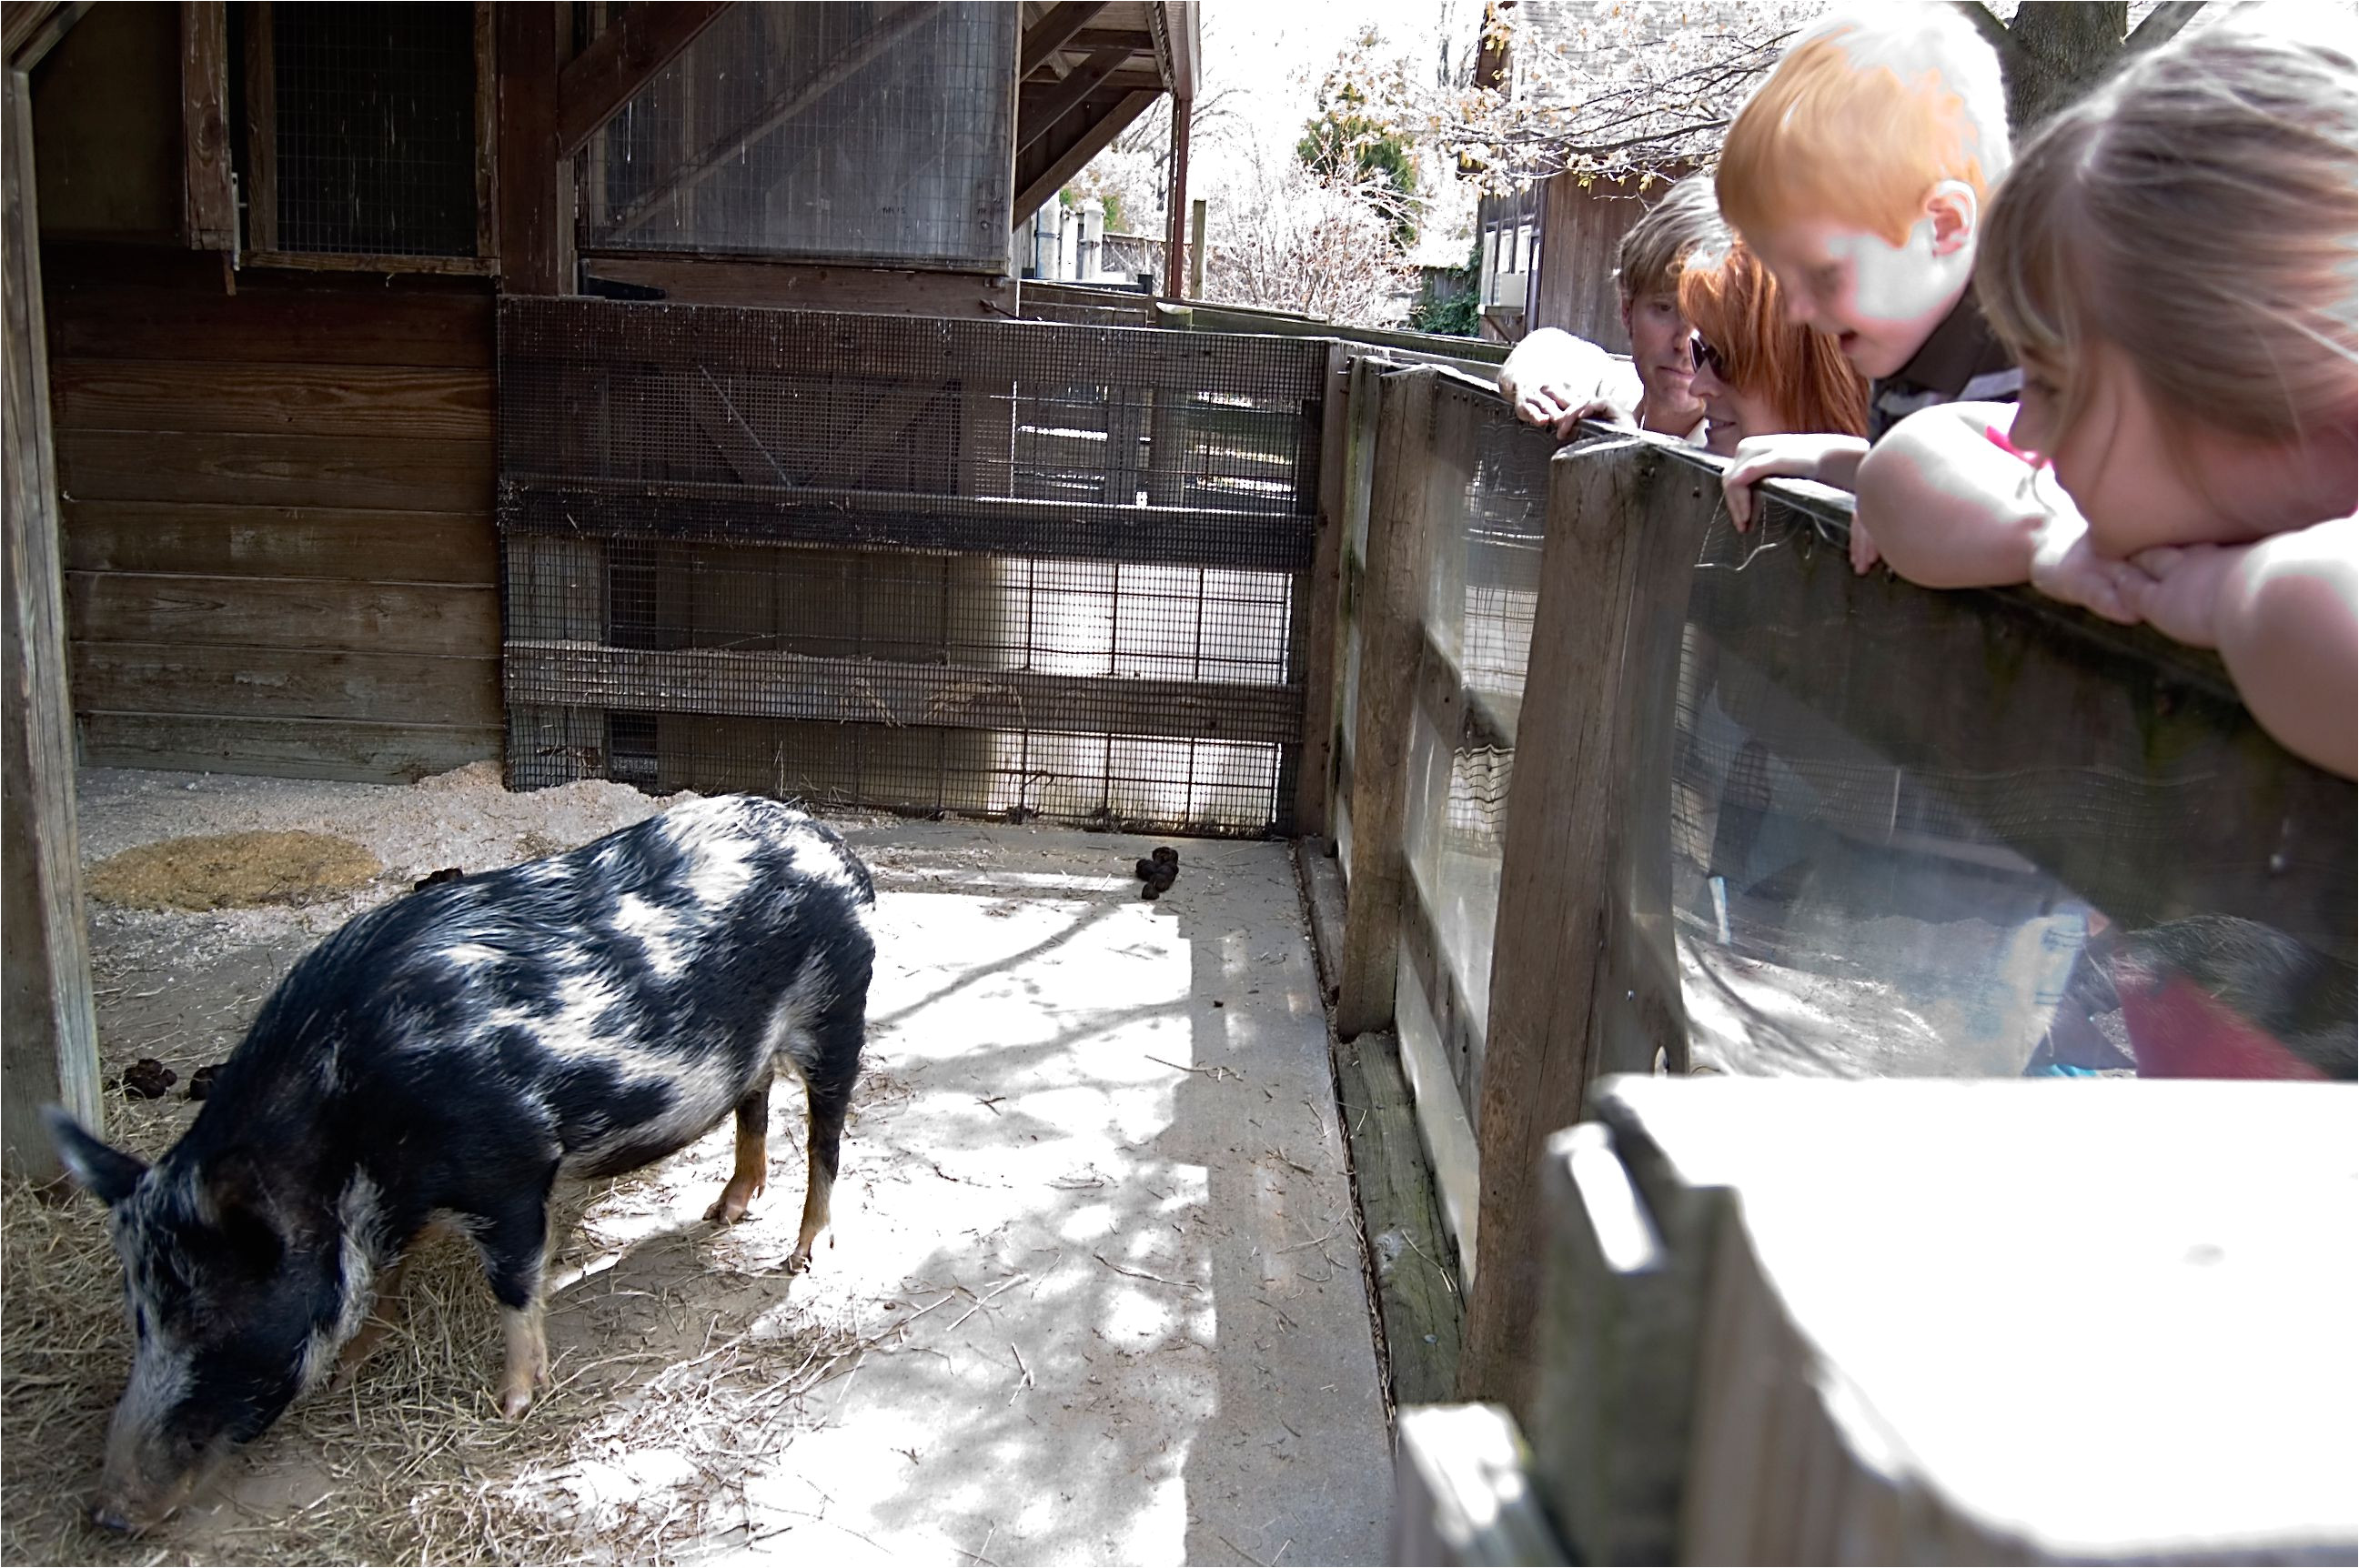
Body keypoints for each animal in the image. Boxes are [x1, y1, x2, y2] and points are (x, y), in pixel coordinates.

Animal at [43, 797, 877, 1527]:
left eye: (210, 1319)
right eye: (141, 1315)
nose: (109, 1516)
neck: (351, 1115)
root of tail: (830, 844)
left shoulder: (511, 1167)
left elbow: (513, 1284)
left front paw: (512, 1406)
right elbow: (387, 1273)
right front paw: (354, 1363)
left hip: (839, 1012)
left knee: (827, 1135)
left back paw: (801, 1255)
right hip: (762, 1049)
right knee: (755, 1100)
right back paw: (723, 1211)